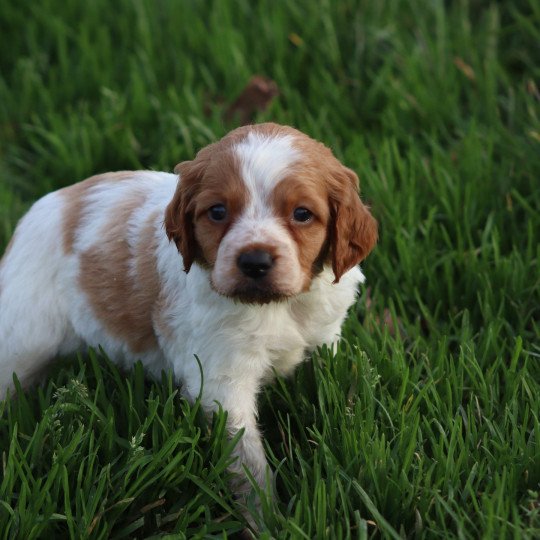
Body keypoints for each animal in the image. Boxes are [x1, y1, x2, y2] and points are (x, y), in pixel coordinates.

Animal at [0, 121, 378, 490]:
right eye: (218, 212)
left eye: (302, 214)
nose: (254, 261)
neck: (281, 306)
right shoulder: (221, 380)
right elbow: (248, 461)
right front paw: (265, 508)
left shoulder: (325, 336)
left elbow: (332, 379)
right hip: (22, 338)